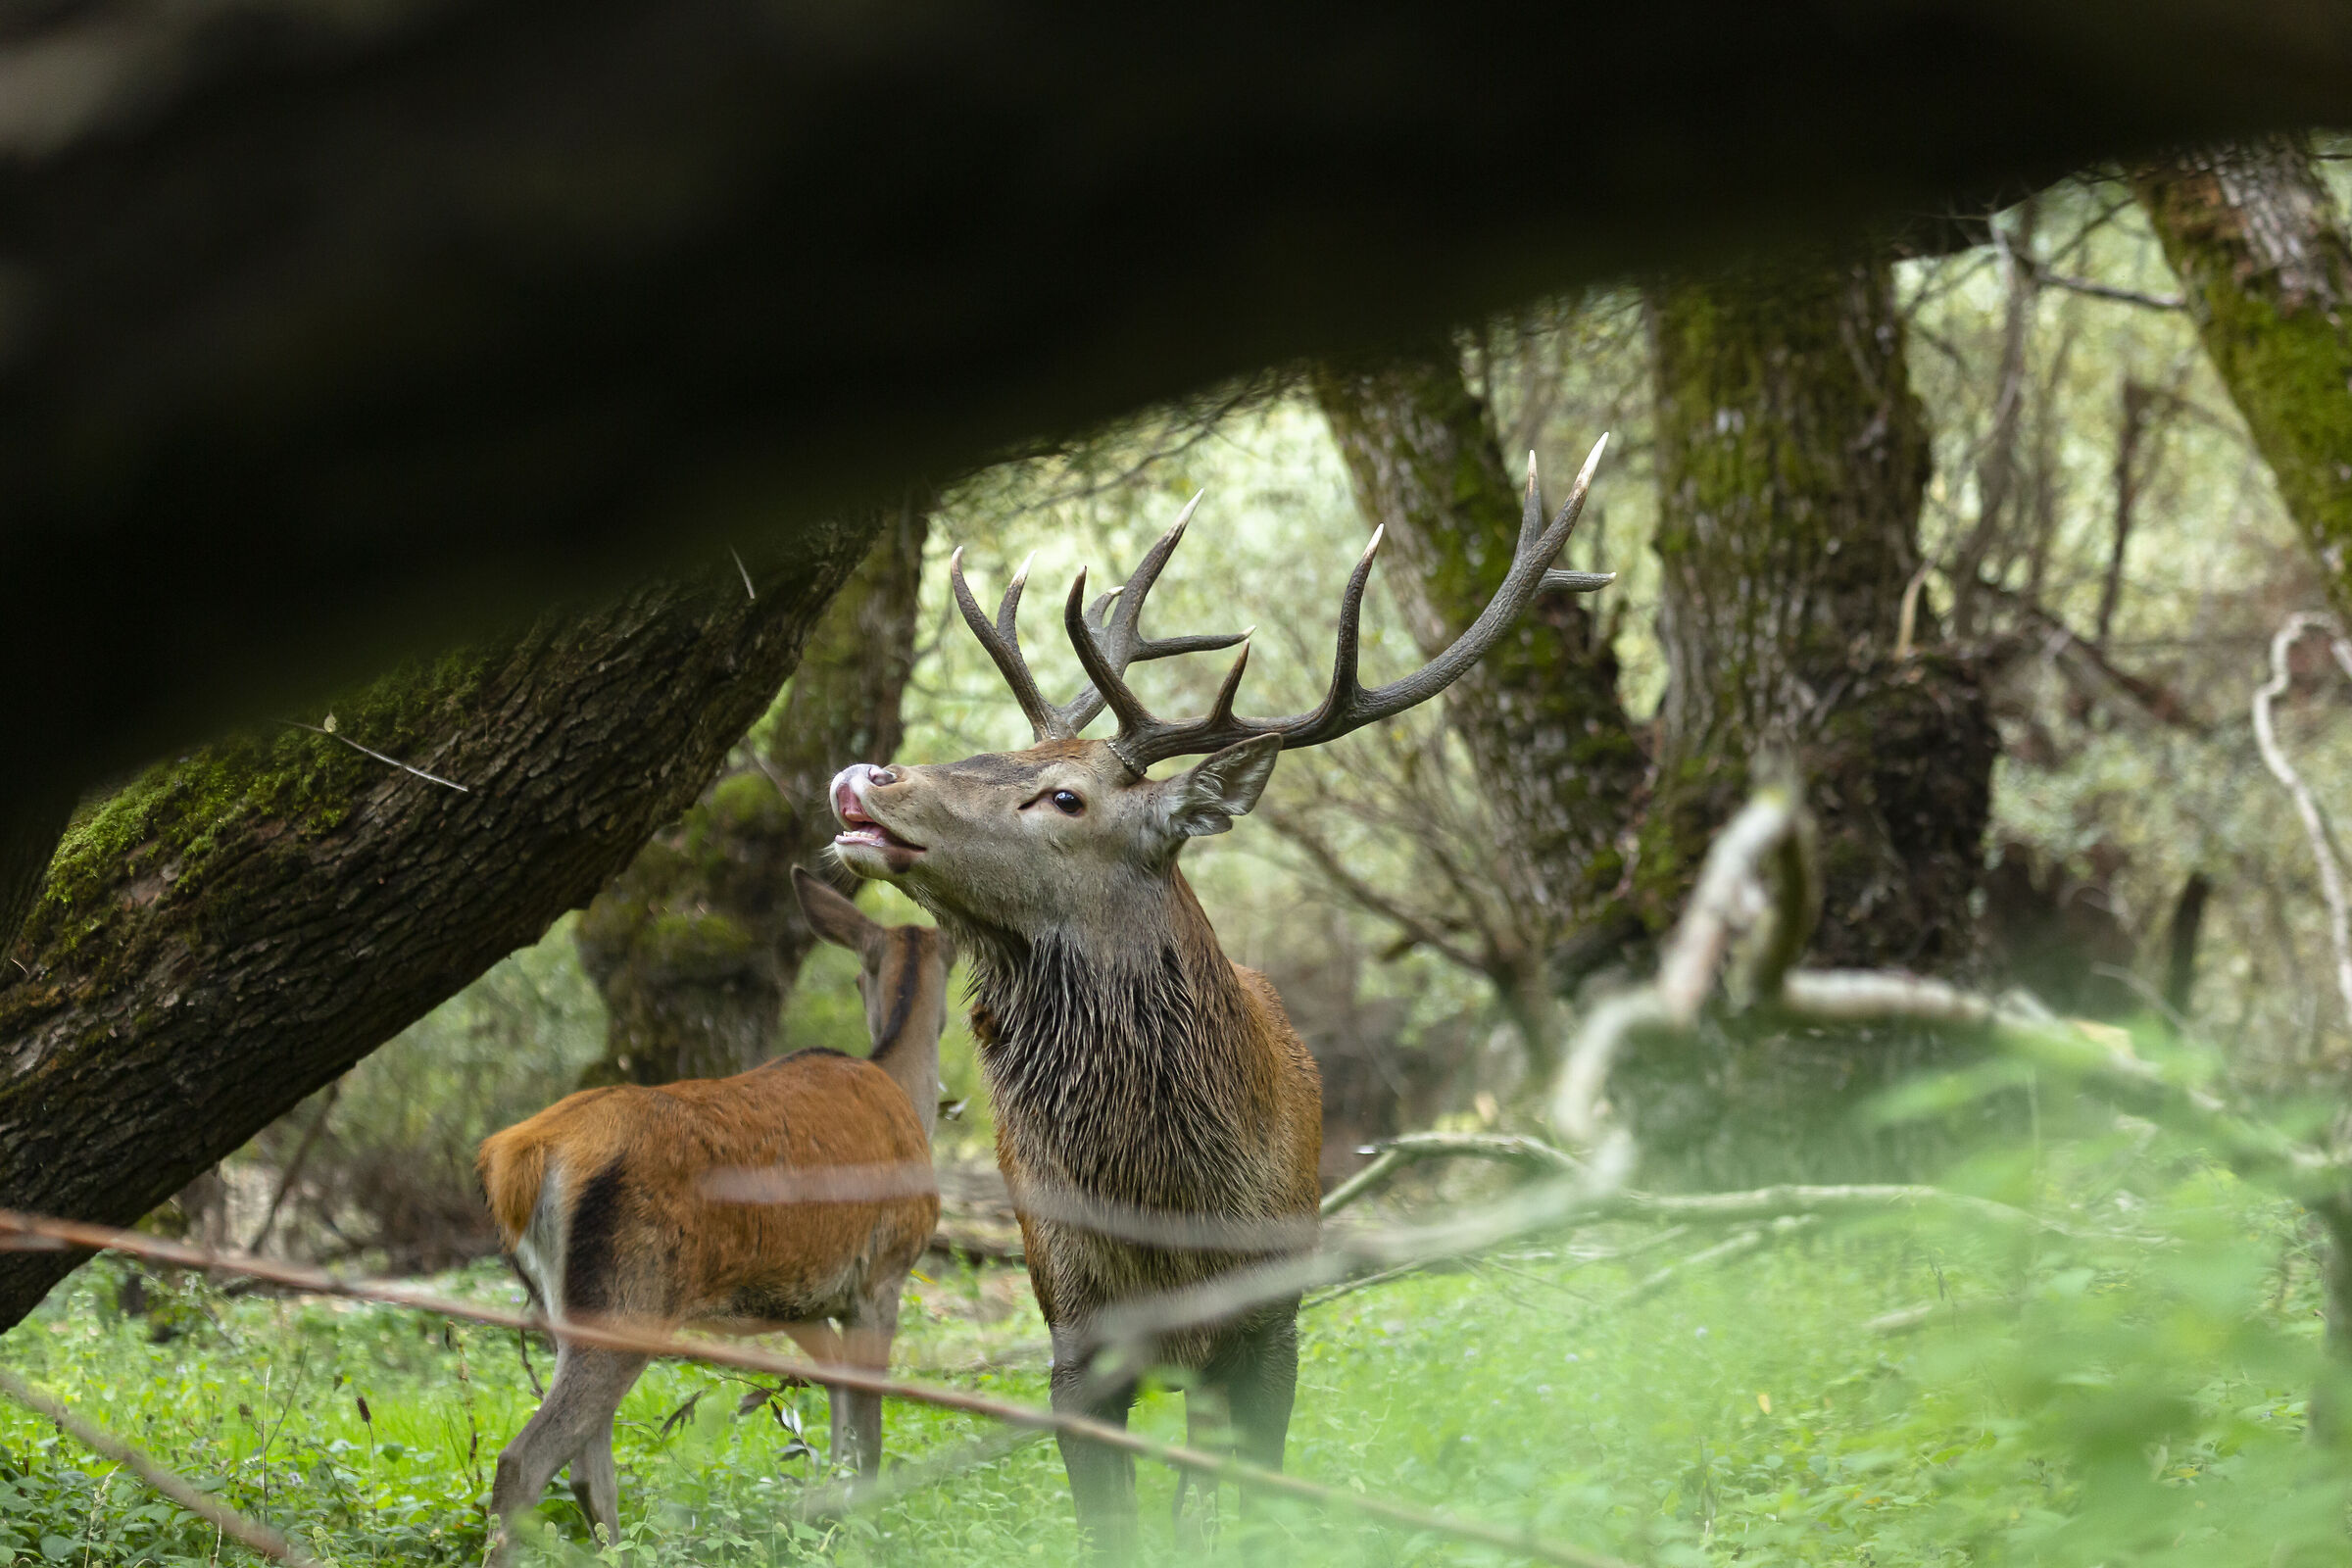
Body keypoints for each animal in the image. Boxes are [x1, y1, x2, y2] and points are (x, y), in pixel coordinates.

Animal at [476, 869, 953, 1563]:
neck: (906, 1098)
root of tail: (522, 1158)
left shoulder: (801, 1304)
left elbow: (836, 1405)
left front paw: (828, 1519)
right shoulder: (881, 1274)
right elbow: (869, 1433)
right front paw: (870, 1530)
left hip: (561, 1304)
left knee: (590, 1467)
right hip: (629, 1295)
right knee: (526, 1462)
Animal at [825, 437, 1612, 1556]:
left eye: (1062, 797)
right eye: (1003, 755)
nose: (866, 776)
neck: (1171, 1213)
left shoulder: (1265, 1324)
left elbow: (1235, 1503)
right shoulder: (1073, 1334)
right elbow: (1112, 1525)